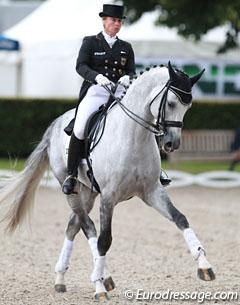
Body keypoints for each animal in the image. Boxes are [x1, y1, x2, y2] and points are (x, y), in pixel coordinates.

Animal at [0, 61, 214, 300]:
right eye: (170, 103)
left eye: (189, 106)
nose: (171, 144)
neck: (134, 136)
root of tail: (55, 124)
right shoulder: (109, 197)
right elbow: (104, 239)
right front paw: (99, 287)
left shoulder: (152, 192)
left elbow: (180, 218)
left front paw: (204, 265)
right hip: (72, 190)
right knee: (87, 226)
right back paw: (101, 277)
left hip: (89, 192)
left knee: (73, 225)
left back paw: (62, 278)